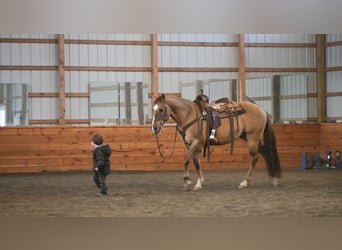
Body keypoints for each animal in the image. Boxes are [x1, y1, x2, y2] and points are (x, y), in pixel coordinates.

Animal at [152, 93, 280, 189]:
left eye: (161, 109)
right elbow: (196, 162)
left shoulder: (197, 143)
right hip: (249, 137)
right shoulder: (190, 145)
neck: (189, 114)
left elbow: (186, 160)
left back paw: (245, 182)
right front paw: (199, 183)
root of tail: (261, 110)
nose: (154, 128)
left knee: (254, 158)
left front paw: (187, 180)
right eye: (153, 109)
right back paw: (273, 179)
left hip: (253, 138)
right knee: (266, 153)